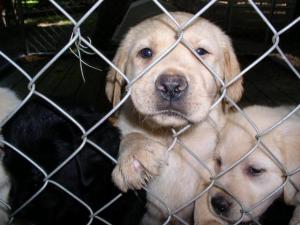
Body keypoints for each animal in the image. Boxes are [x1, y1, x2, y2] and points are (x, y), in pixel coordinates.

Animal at [106, 12, 244, 225]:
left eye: (201, 52)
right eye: (145, 53)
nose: (171, 85)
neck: (175, 136)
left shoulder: (210, 167)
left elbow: (207, 194)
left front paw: (209, 218)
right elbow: (131, 135)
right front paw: (135, 154)